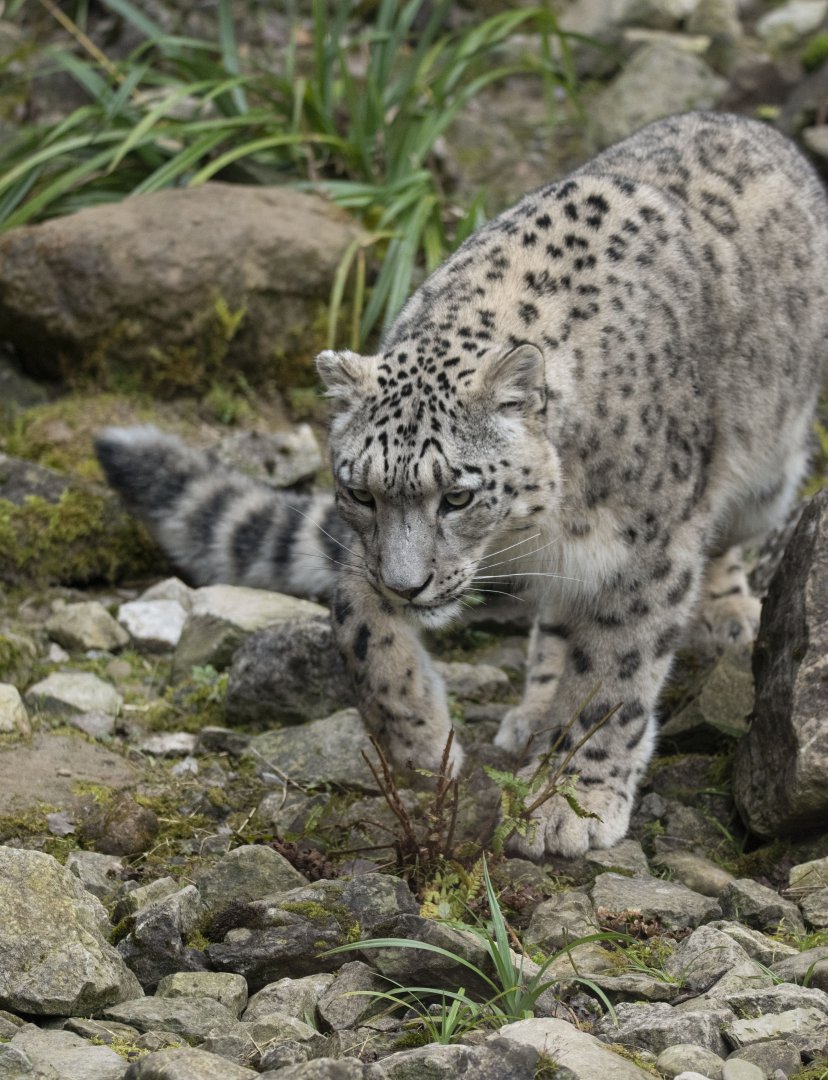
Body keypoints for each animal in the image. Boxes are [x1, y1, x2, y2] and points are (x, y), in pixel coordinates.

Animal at [97, 111, 828, 858]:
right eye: (360, 493)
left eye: (458, 495)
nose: (407, 585)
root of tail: (741, 121)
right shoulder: (363, 555)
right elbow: (361, 632)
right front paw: (423, 746)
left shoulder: (646, 552)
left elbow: (614, 675)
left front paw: (573, 798)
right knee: (555, 621)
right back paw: (532, 708)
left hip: (768, 472)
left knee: (723, 546)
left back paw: (725, 614)